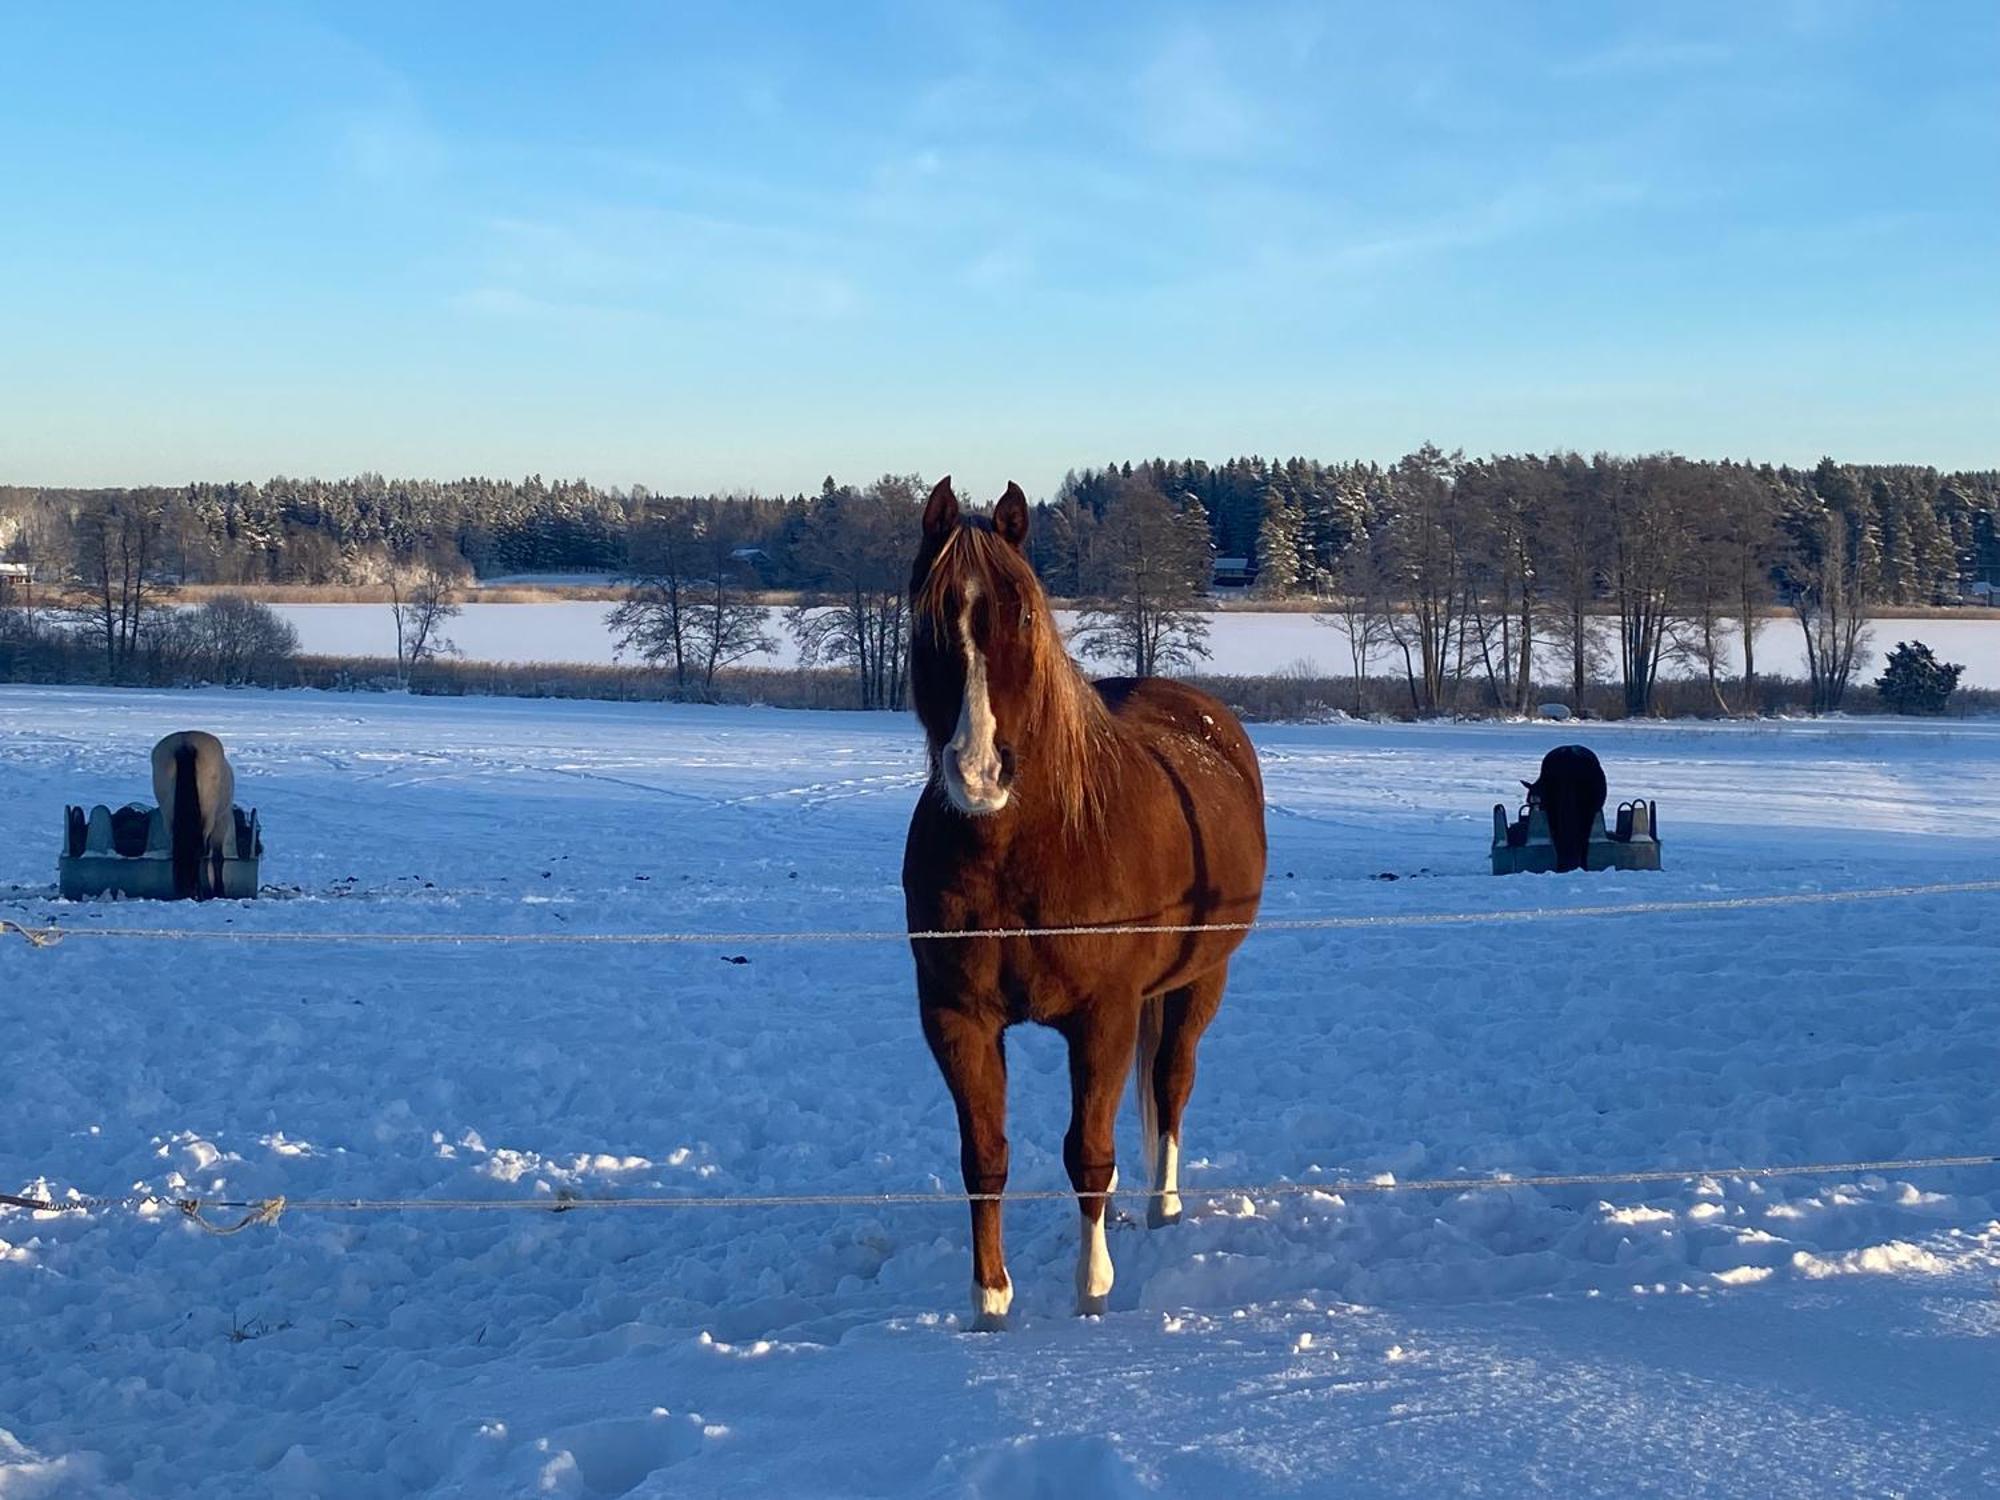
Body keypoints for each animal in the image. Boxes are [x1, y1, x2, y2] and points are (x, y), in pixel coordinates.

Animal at [150, 732, 236, 900]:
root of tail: (185, 744)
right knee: (199, 850)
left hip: (168, 816)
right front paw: (219, 891)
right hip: (208, 818)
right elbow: (217, 857)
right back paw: (197, 892)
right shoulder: (221, 821)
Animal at [908, 478, 1264, 1328]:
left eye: (1022, 615)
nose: (979, 772)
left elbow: (1090, 1155)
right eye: (927, 617)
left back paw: (1165, 1209)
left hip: (1198, 984)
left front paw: (1092, 1296)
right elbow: (985, 1158)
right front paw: (991, 1307)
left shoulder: (1104, 1016)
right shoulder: (955, 1018)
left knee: (1172, 1081)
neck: (1021, 851)